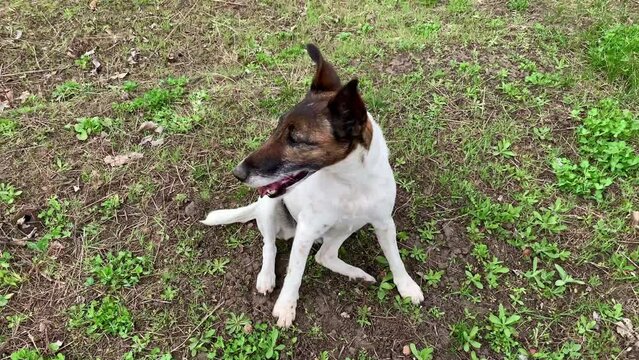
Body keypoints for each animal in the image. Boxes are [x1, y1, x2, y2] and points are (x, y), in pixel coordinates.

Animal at [202, 43, 424, 328]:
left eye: (296, 140)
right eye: (277, 128)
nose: (238, 173)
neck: (349, 183)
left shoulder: (384, 223)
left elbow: (395, 258)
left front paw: (406, 285)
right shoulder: (306, 231)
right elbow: (294, 272)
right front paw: (286, 306)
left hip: (347, 227)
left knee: (324, 256)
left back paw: (357, 273)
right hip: (270, 209)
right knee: (269, 246)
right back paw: (266, 277)